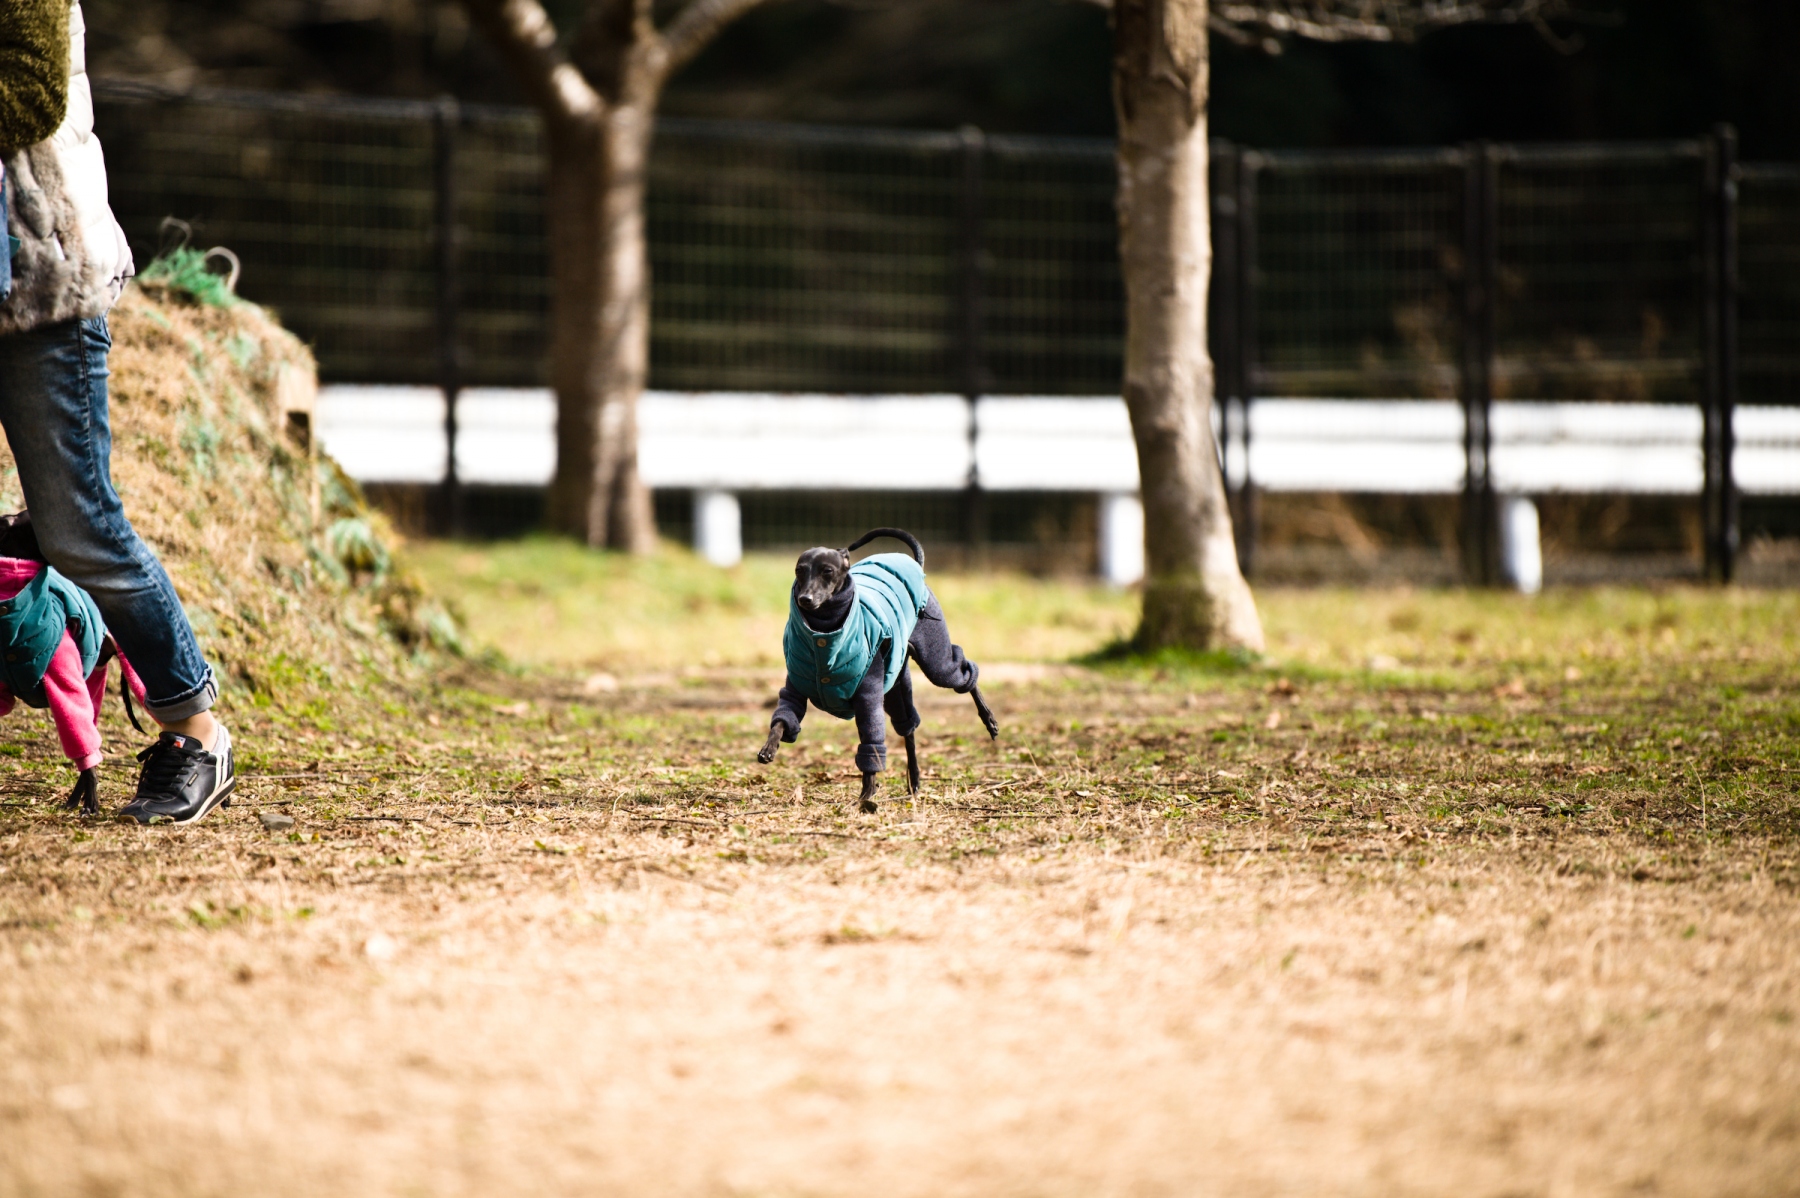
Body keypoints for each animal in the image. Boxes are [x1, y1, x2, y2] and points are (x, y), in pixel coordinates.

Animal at [757, 528, 998, 812]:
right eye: (799, 570)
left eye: (827, 571)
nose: (805, 599)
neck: (824, 633)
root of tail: (915, 564)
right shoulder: (795, 690)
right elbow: (782, 720)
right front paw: (769, 748)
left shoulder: (868, 698)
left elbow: (871, 747)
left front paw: (867, 795)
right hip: (896, 686)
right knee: (909, 729)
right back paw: (914, 780)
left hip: (936, 662)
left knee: (965, 673)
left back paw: (989, 720)